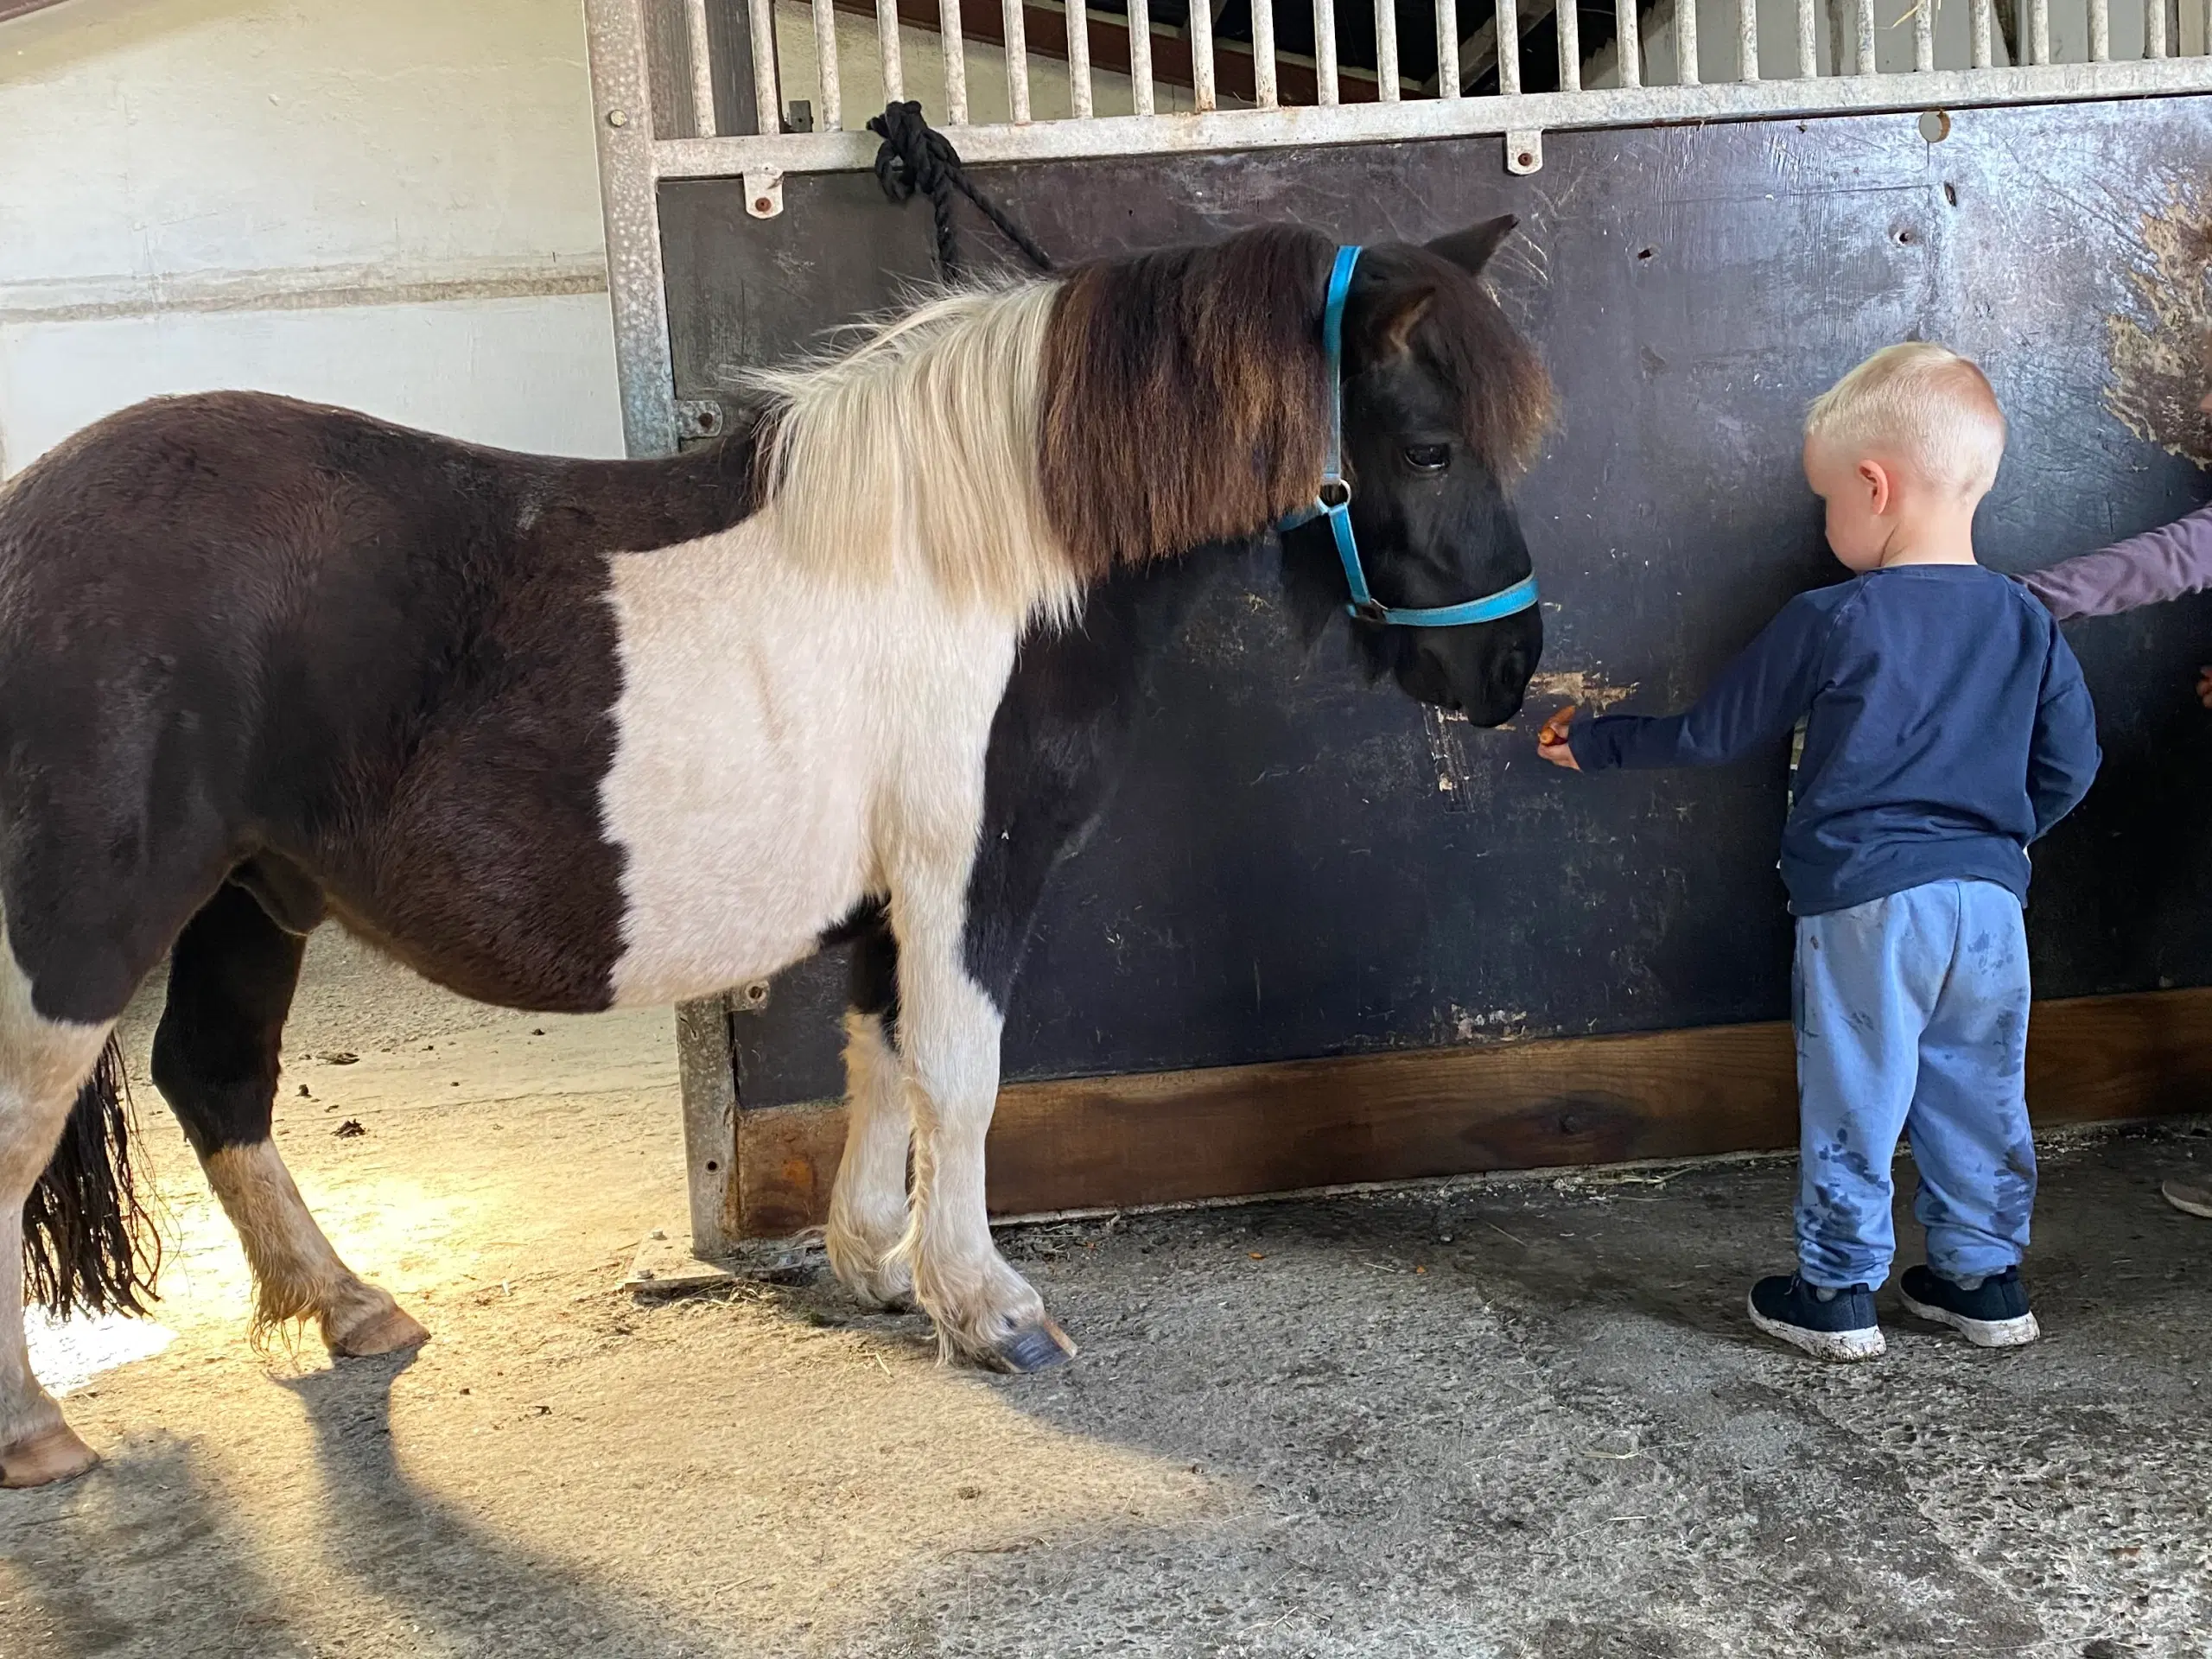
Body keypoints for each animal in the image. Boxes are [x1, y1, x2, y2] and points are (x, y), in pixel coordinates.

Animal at [4, 218, 1557, 1495]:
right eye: (1429, 448)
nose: (1509, 668)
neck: (982, 560)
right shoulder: (968, 876)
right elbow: (958, 1078)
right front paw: (988, 1309)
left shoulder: (886, 897)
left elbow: (877, 1057)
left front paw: (876, 1266)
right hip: (86, 931)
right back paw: (38, 1434)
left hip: (253, 899)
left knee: (217, 1080)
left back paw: (352, 1307)